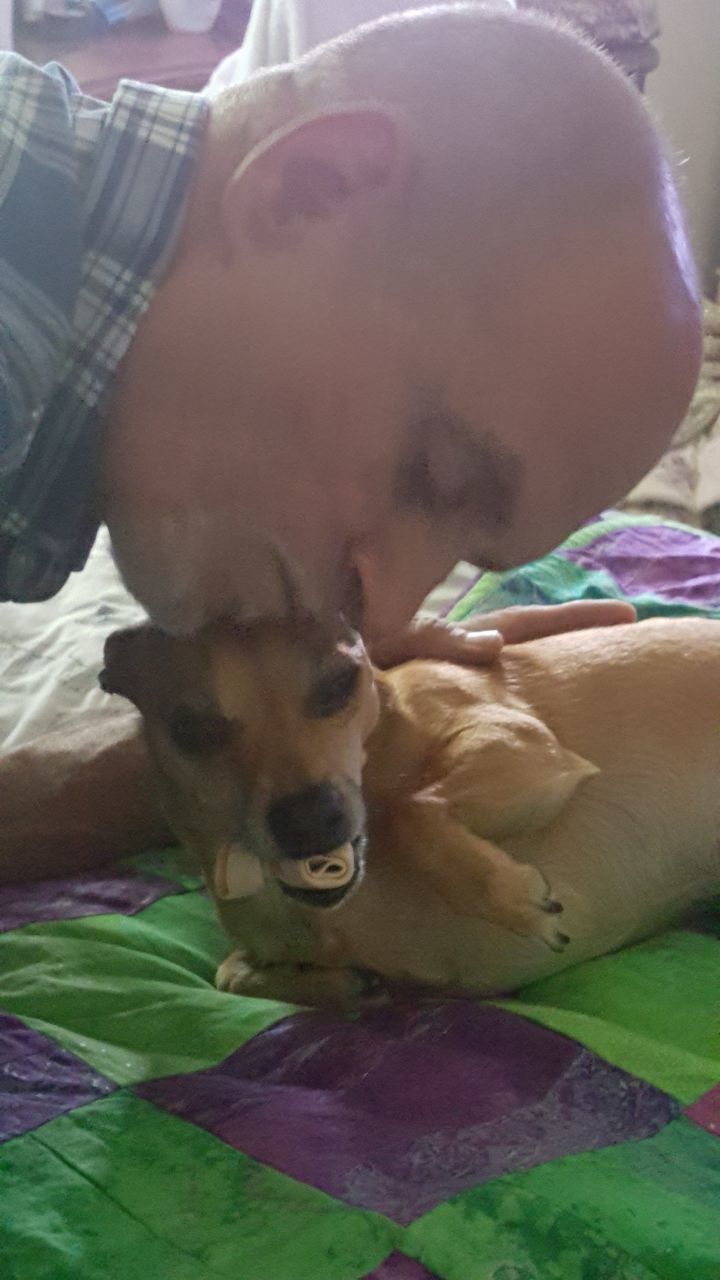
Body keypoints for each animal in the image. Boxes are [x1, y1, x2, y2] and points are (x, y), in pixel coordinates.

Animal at [99, 619, 717, 1008]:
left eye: (340, 684)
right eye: (191, 728)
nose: (310, 818)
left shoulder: (526, 746)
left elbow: (407, 806)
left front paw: (517, 900)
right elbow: (227, 974)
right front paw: (342, 985)